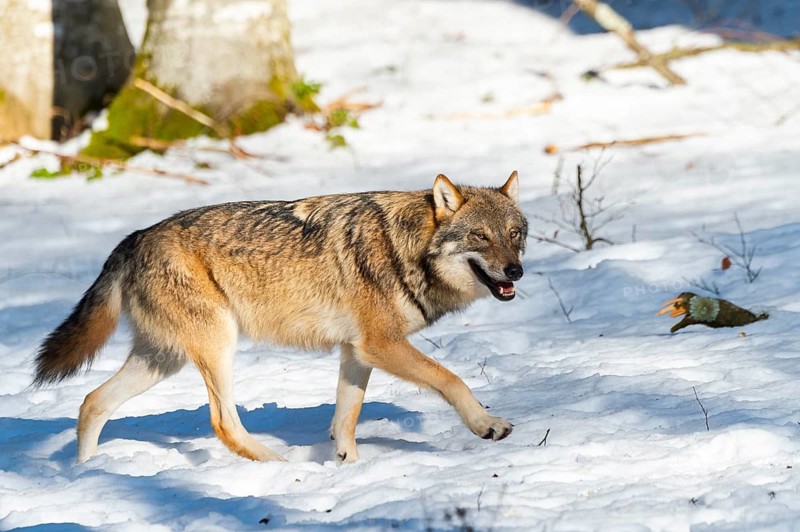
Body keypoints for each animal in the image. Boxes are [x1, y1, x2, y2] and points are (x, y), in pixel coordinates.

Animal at [33, 172, 528, 463]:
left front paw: (348, 469)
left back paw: (88, 473)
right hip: (217, 346)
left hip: (161, 360)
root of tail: (134, 237)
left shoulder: (356, 351)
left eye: (514, 234)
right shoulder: (380, 345)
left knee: (92, 402)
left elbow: (345, 420)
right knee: (223, 423)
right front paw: (487, 425)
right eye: (480, 237)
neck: (404, 248)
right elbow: (452, 380)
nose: (516, 271)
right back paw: (279, 467)